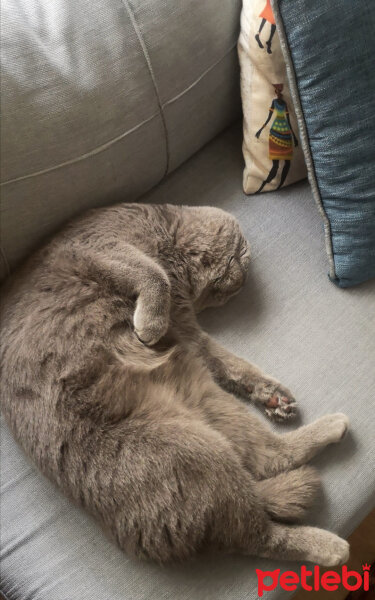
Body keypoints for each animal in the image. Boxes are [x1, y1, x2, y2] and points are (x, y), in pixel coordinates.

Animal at [0, 204, 352, 564]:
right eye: (240, 258)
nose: (238, 286)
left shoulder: (188, 332)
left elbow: (229, 363)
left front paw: (271, 395)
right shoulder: (102, 243)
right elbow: (154, 275)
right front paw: (151, 324)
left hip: (203, 403)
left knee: (267, 466)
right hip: (193, 448)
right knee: (259, 531)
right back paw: (333, 545)